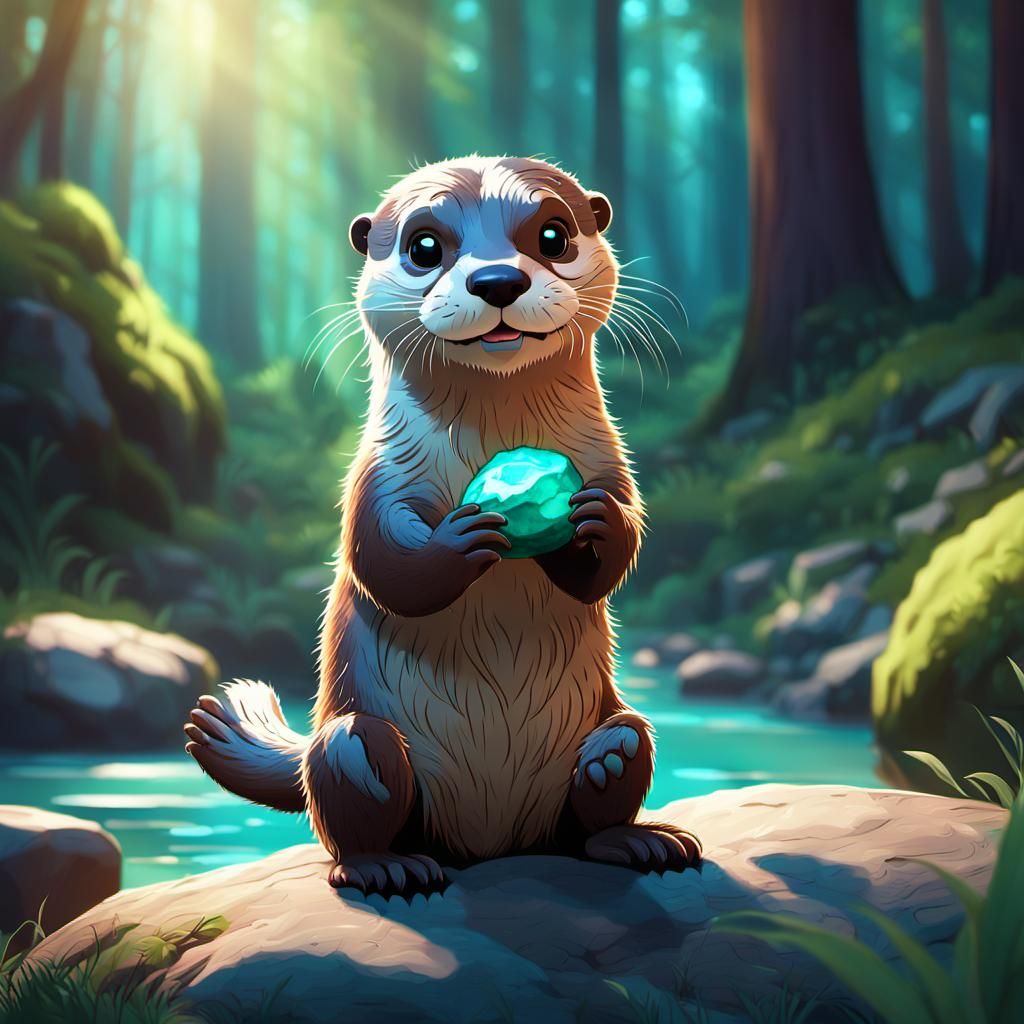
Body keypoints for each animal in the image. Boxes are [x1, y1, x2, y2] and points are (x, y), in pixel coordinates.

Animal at [184, 156, 701, 896]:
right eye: (424, 245)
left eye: (553, 234)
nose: (497, 280)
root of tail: (491, 847)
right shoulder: (376, 477)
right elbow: (384, 564)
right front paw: (463, 538)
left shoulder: (609, 457)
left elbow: (618, 546)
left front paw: (596, 523)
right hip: (349, 749)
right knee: (352, 790)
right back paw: (387, 866)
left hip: (613, 725)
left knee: (616, 769)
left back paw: (636, 833)